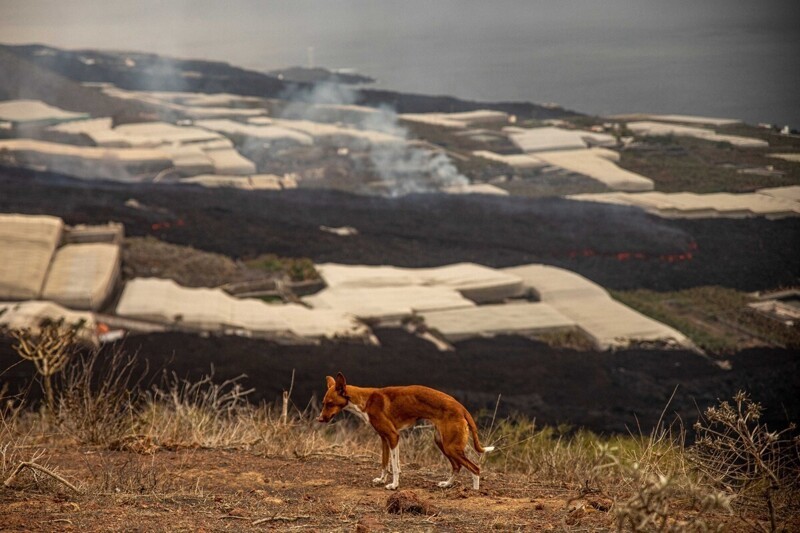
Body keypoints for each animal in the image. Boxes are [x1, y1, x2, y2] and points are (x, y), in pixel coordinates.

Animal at [316, 372, 490, 488]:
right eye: (323, 403)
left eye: (330, 403)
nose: (320, 419)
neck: (366, 400)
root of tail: (461, 408)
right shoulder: (384, 439)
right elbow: (385, 463)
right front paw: (382, 480)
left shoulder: (393, 436)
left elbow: (394, 465)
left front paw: (394, 485)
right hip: (442, 443)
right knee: (457, 466)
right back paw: (447, 484)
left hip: (451, 446)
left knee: (475, 468)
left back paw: (474, 491)